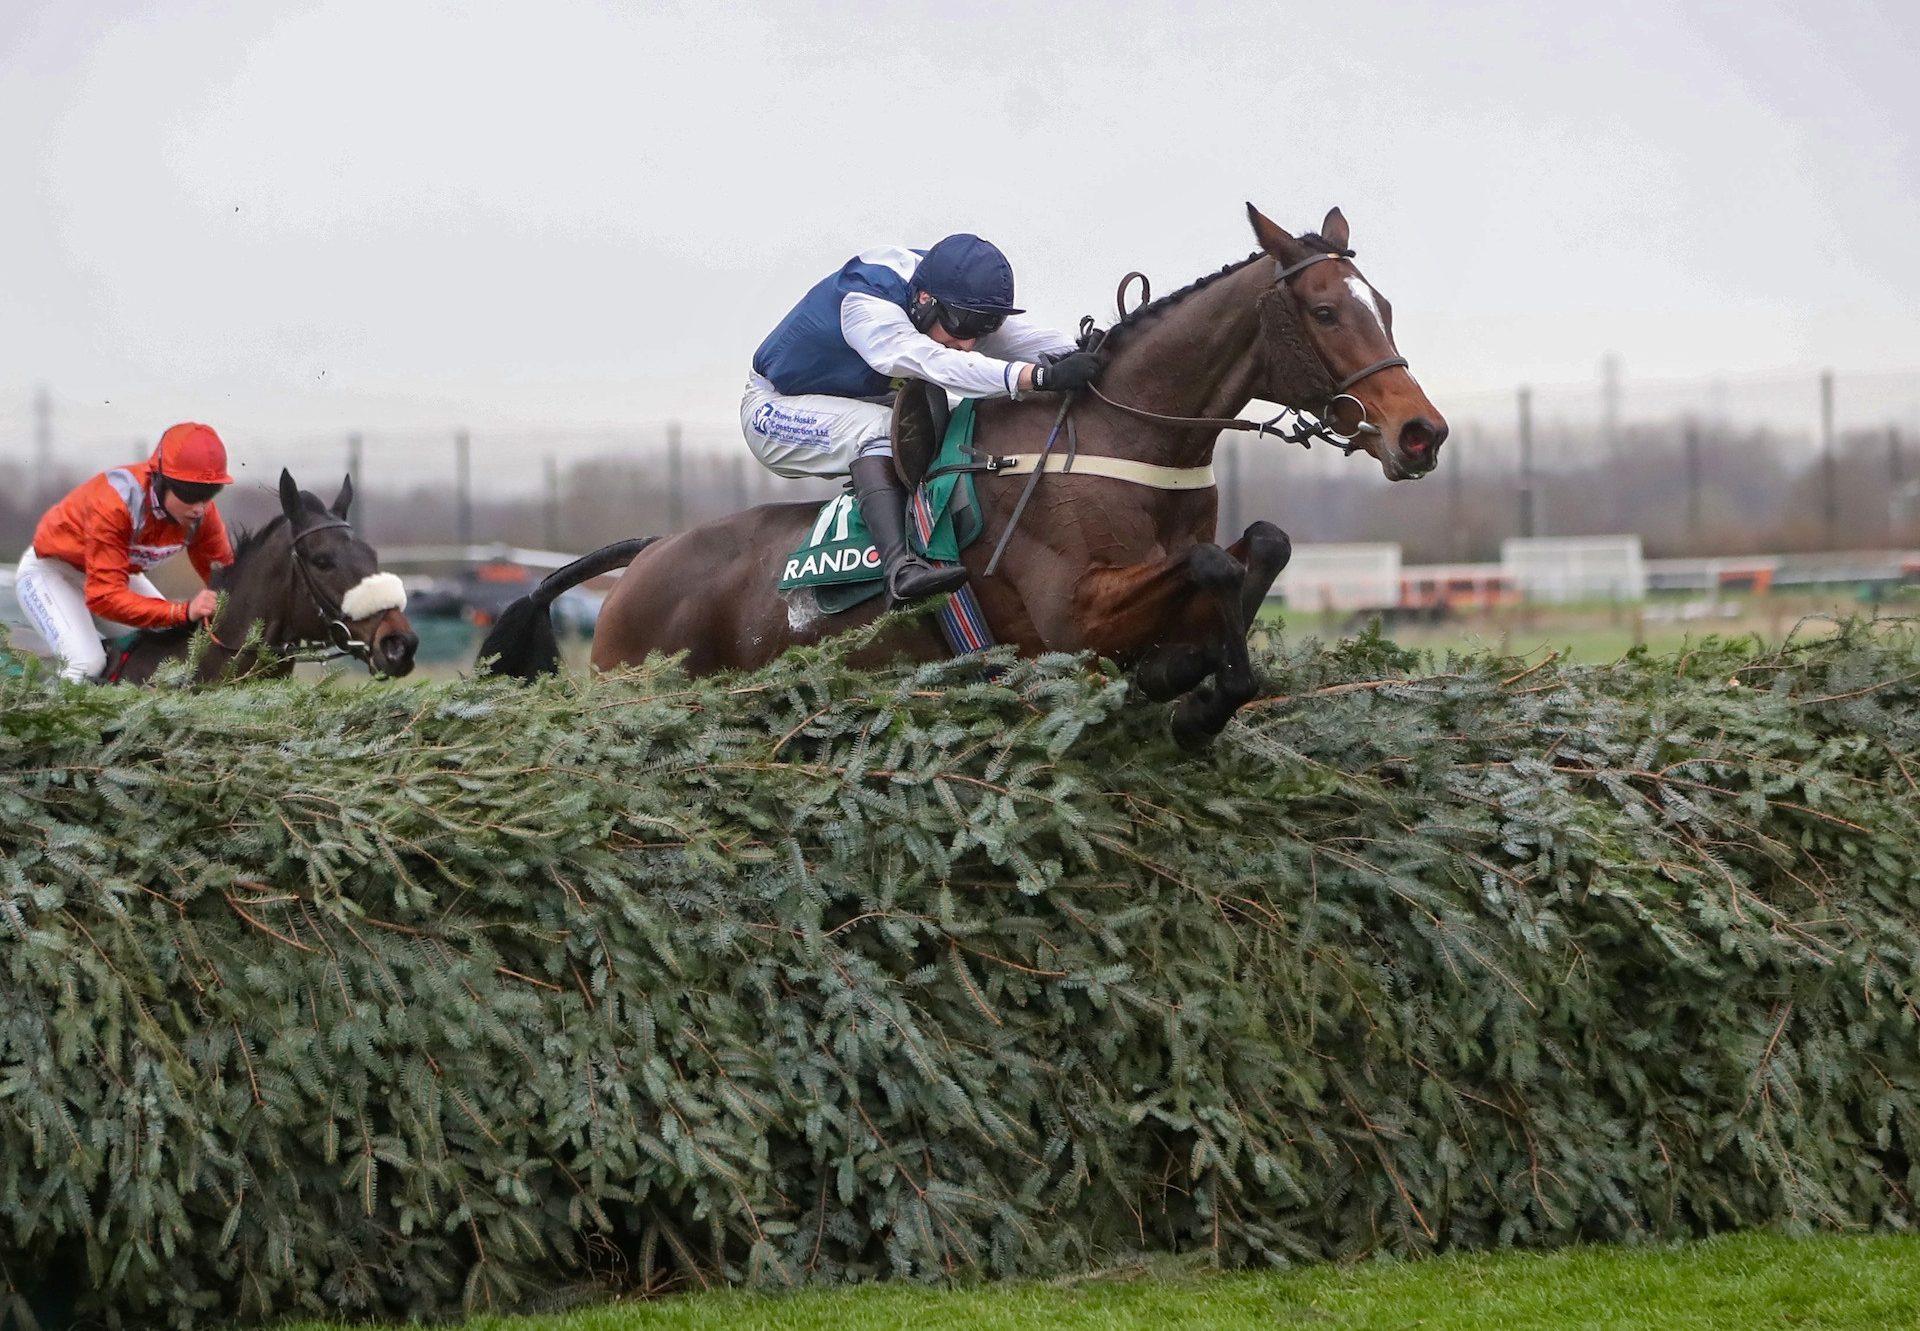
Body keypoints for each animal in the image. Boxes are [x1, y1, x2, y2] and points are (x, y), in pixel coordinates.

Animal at [476, 207, 1443, 749]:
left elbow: (1260, 550)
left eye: (1387, 308)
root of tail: (646, 555)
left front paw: (1194, 674)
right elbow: (1209, 571)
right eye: (1326, 310)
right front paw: (1191, 693)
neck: (1121, 438)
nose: (1421, 432)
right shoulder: (1072, 615)